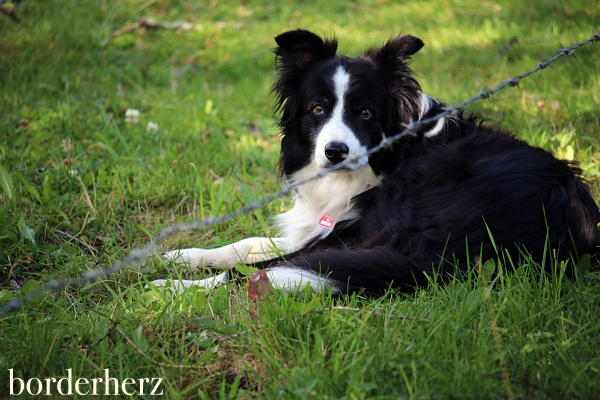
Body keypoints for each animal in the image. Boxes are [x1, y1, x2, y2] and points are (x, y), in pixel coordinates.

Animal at [151, 29, 600, 296]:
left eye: (366, 113)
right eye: (317, 108)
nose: (335, 152)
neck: (389, 158)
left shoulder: (354, 233)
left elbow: (262, 262)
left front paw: (176, 281)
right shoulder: (330, 224)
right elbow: (249, 244)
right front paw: (184, 255)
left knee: (261, 274)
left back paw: (175, 288)